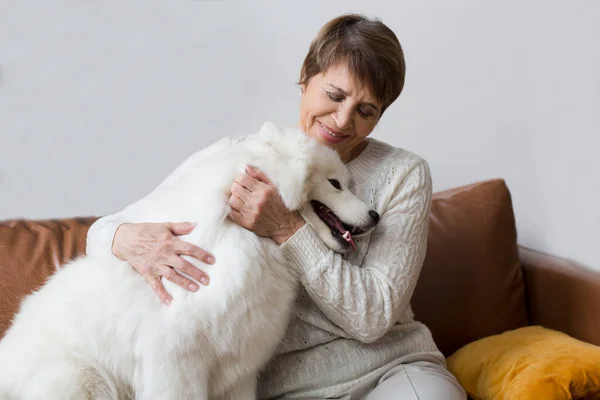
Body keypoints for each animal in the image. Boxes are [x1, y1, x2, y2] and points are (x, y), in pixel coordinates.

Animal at [0, 122, 380, 400]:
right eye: (336, 184)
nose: (376, 216)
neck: (242, 238)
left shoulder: (238, 371)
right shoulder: (176, 363)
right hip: (84, 382)